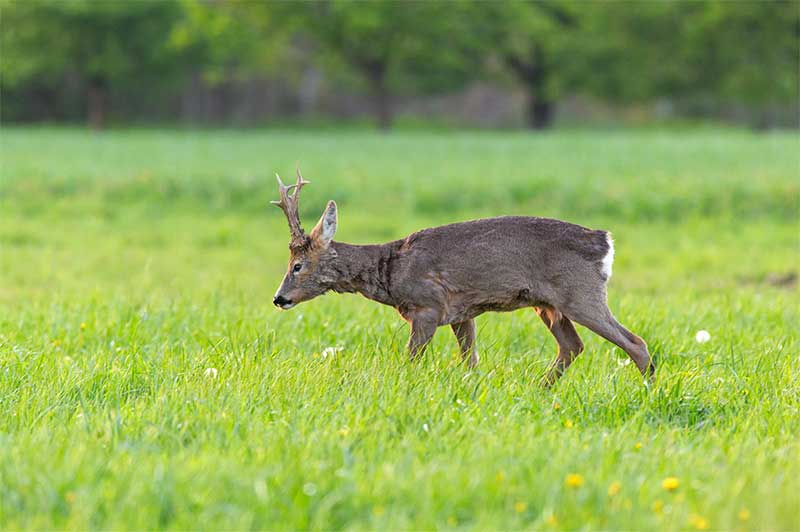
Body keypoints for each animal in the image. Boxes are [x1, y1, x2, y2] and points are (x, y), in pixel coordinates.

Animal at [272, 168, 652, 384]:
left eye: (297, 265)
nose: (279, 298)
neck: (390, 270)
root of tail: (604, 242)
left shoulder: (428, 307)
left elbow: (411, 361)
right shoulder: (461, 313)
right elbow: (470, 361)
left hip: (580, 293)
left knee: (635, 343)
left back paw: (649, 390)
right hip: (547, 304)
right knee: (572, 346)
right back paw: (540, 389)